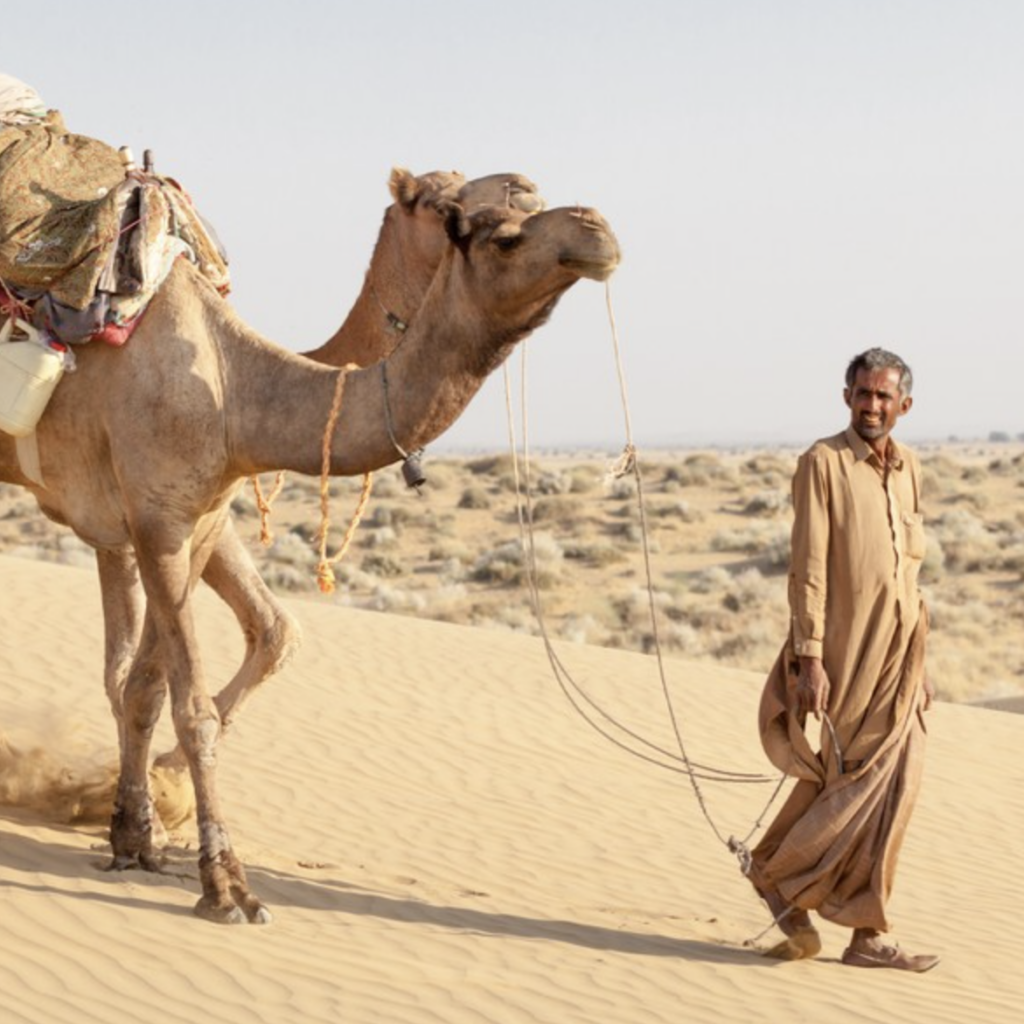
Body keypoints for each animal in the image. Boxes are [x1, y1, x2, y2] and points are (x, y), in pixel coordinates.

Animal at [0, 196, 619, 923]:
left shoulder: (188, 522)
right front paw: (227, 887)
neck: (233, 390)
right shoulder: (156, 522)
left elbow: (146, 689)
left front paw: (135, 839)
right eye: (504, 237)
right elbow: (192, 711)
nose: (596, 228)